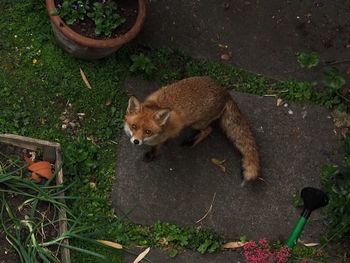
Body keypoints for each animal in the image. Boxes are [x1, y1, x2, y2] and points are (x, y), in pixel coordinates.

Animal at [124, 76, 262, 184]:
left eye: (148, 131)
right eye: (134, 126)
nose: (136, 141)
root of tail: (225, 92)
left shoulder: (170, 132)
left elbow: (157, 146)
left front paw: (152, 153)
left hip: (197, 124)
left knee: (208, 130)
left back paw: (191, 142)